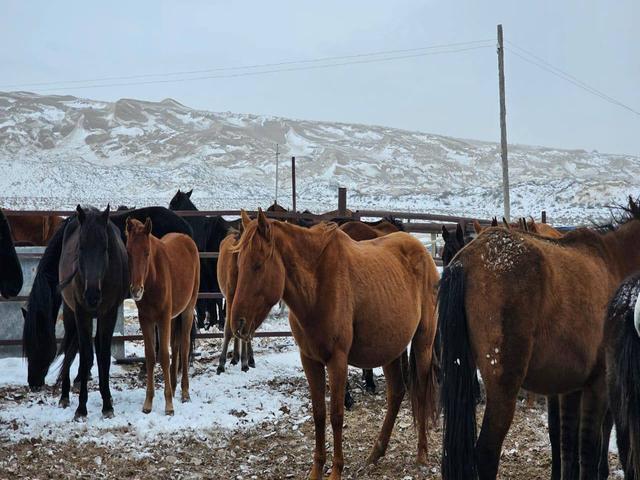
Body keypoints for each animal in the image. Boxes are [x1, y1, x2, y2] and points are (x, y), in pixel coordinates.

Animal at [55, 205, 129, 420]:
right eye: (80, 247)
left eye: (105, 248)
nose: (92, 295)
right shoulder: (82, 314)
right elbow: (86, 355)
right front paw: (81, 408)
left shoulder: (109, 314)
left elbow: (103, 355)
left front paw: (107, 405)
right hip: (70, 313)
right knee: (69, 349)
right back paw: (64, 396)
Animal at [125, 218, 199, 415]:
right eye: (128, 252)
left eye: (147, 252)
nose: (136, 290)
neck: (153, 278)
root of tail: (186, 238)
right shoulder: (146, 319)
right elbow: (151, 356)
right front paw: (148, 402)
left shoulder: (163, 318)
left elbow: (164, 356)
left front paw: (169, 405)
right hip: (174, 317)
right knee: (176, 345)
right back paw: (173, 386)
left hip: (187, 310)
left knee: (184, 347)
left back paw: (184, 392)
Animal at [216, 229, 255, 375]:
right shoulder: (231, 299)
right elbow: (229, 329)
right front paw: (221, 364)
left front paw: (245, 362)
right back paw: (235, 357)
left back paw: (248, 358)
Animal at [230, 209, 439, 479]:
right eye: (239, 264)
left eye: (258, 264)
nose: (238, 323)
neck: (317, 287)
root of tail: (423, 252)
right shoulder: (309, 360)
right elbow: (319, 414)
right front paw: (316, 470)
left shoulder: (337, 361)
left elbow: (336, 415)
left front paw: (336, 470)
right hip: (391, 349)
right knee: (396, 393)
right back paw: (376, 452)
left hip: (423, 342)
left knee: (420, 392)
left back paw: (421, 453)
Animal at [438, 196, 640, 480]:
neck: (614, 260)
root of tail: (466, 261)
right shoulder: (598, 386)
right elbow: (588, 452)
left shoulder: (569, 389)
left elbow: (567, 447)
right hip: (504, 389)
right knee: (486, 452)